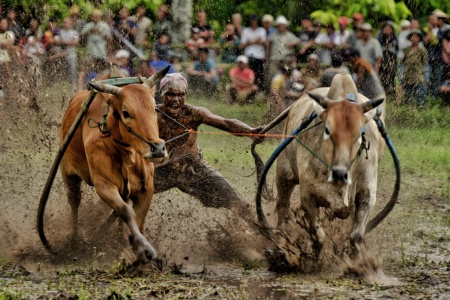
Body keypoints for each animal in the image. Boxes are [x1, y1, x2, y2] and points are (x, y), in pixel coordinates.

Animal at [51, 68, 167, 262]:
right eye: (126, 113)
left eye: (154, 109)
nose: (158, 148)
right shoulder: (103, 184)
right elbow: (126, 211)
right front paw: (144, 248)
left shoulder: (146, 187)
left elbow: (138, 219)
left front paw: (134, 245)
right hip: (68, 173)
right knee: (74, 202)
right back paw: (75, 239)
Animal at [276, 74, 384, 252]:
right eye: (327, 130)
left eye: (359, 134)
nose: (340, 173)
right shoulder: (307, 195)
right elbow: (319, 236)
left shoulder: (367, 191)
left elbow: (356, 236)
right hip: (284, 173)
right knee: (282, 207)